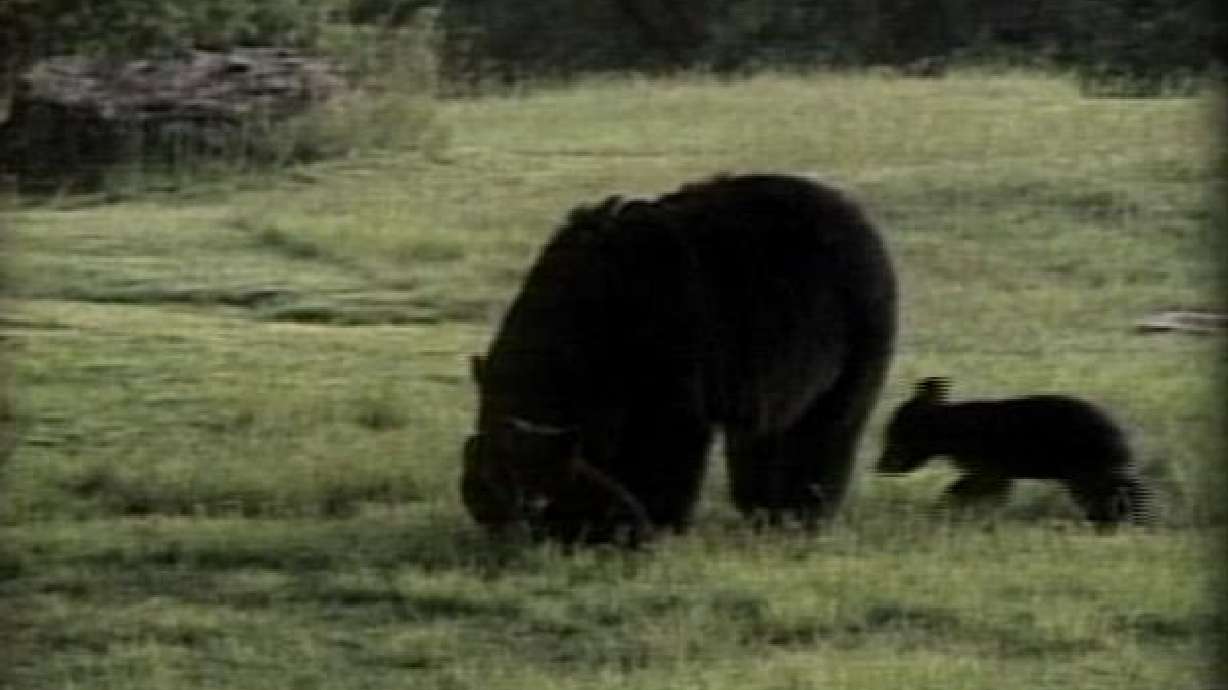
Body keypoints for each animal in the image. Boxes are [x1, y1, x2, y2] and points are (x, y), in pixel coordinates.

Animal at [461, 173, 898, 543]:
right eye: (493, 485)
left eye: (538, 495)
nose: (513, 527)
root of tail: (855, 213)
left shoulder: (665, 342)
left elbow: (666, 433)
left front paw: (653, 521)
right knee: (761, 434)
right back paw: (761, 508)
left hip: (859, 330)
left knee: (830, 422)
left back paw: (802, 512)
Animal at [875, 377, 1153, 526]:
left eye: (895, 434)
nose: (880, 467)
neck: (949, 427)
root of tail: (1120, 436)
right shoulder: (994, 475)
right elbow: (974, 493)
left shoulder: (989, 471)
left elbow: (958, 490)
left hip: (1088, 473)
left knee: (1117, 497)